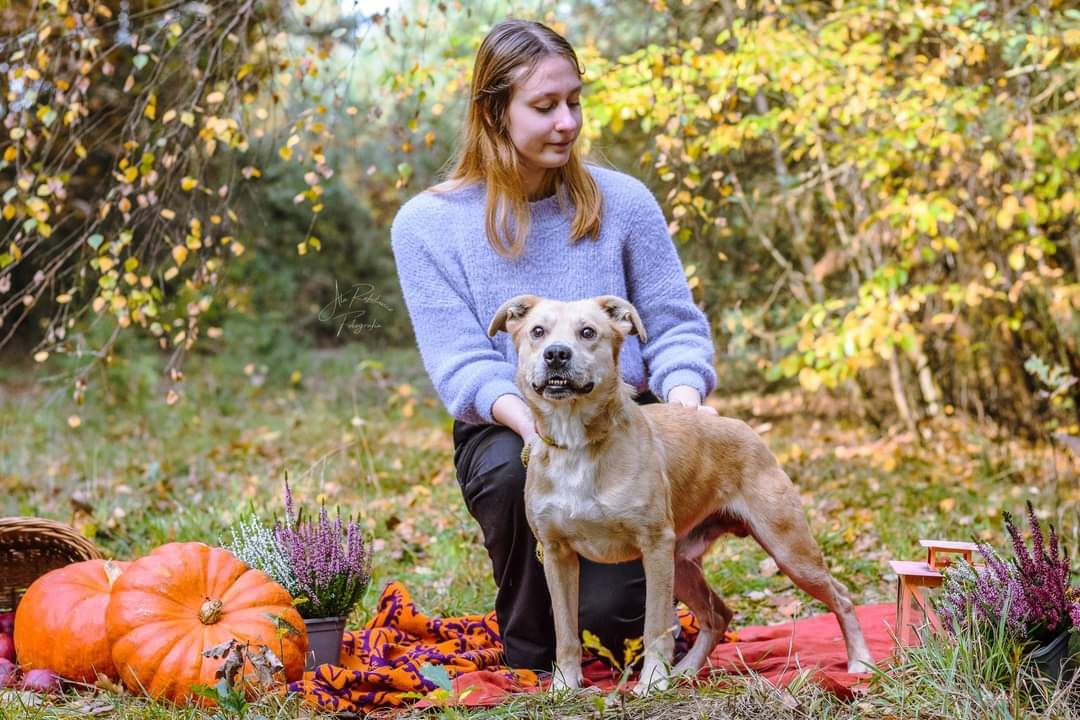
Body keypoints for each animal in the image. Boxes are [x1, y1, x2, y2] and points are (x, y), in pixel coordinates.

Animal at [490, 295, 876, 695]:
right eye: (538, 331)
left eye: (588, 332)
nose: (556, 354)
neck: (577, 444)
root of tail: (744, 428)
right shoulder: (557, 554)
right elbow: (566, 632)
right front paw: (565, 686)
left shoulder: (655, 545)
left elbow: (656, 626)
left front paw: (652, 681)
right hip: (683, 564)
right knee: (719, 614)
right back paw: (686, 670)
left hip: (787, 550)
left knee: (841, 597)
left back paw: (860, 661)